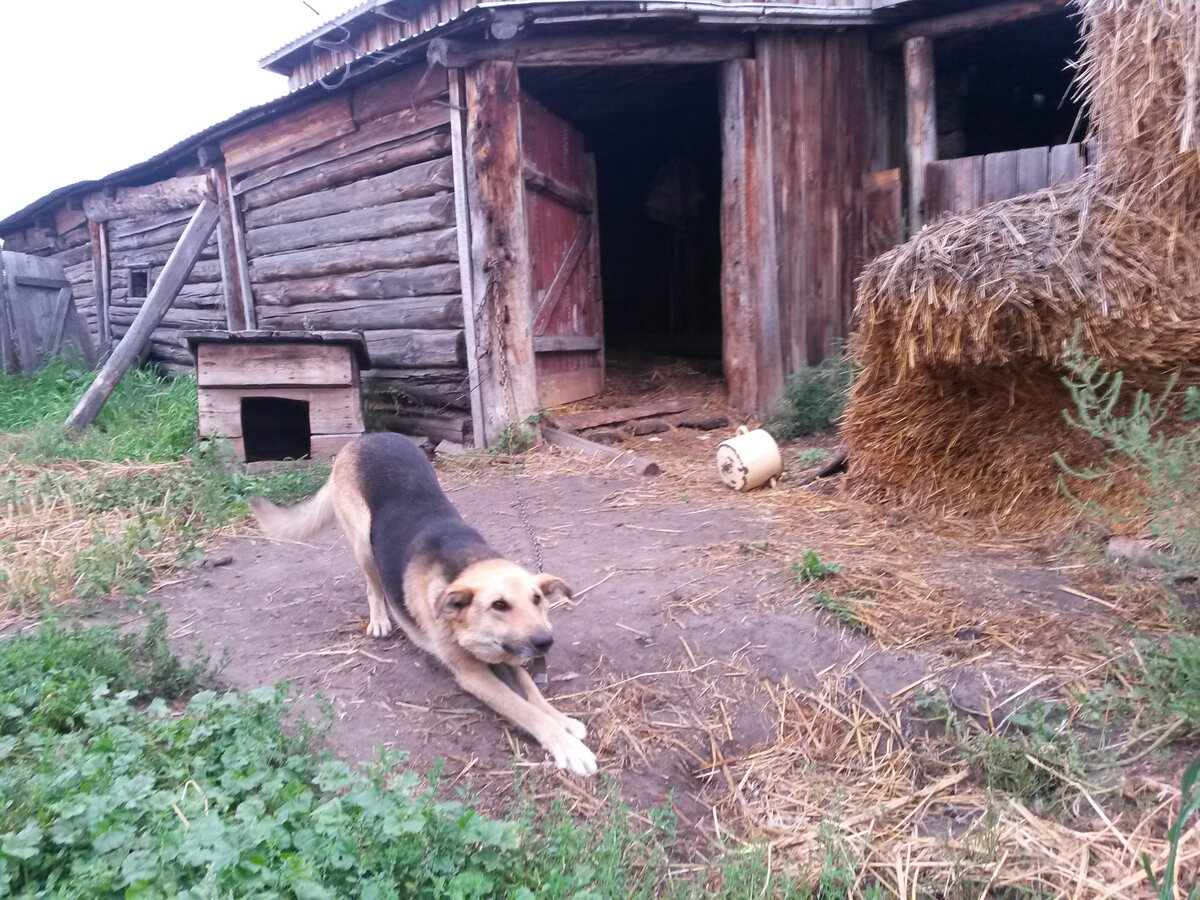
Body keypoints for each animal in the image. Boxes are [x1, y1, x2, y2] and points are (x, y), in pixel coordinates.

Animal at [249, 434, 600, 777]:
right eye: (498, 605)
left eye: (537, 600)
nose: (545, 642)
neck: (461, 567)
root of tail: (367, 437)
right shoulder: (472, 673)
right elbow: (525, 710)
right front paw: (568, 748)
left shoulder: (507, 657)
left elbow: (534, 695)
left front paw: (563, 721)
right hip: (363, 542)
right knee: (373, 585)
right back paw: (380, 619)